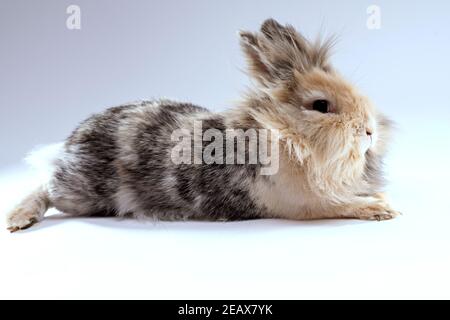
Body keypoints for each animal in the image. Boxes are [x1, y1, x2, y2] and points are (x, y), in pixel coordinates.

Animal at [5, 18, 400, 231]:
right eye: (321, 105)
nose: (369, 131)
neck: (285, 135)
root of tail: (68, 146)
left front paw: (381, 198)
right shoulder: (301, 205)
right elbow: (337, 204)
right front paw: (381, 209)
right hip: (81, 194)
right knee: (43, 189)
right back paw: (18, 220)